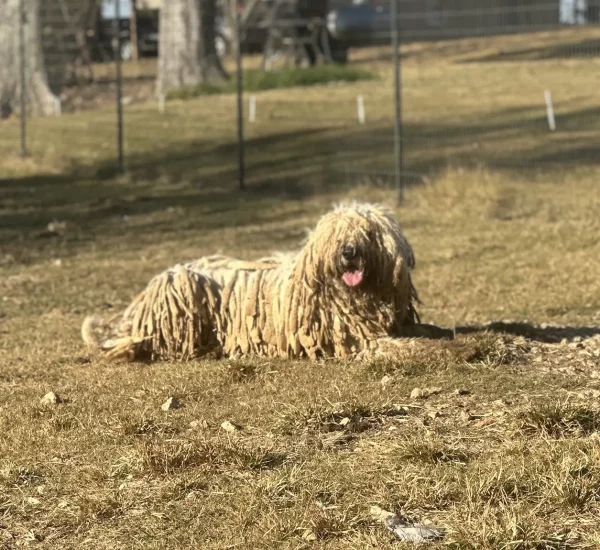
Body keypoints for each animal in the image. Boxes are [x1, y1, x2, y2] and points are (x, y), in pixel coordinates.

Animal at [82, 203, 448, 362]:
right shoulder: (359, 339)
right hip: (184, 298)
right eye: (335, 234)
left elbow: (429, 332)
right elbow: (411, 346)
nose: (349, 252)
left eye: (367, 232)